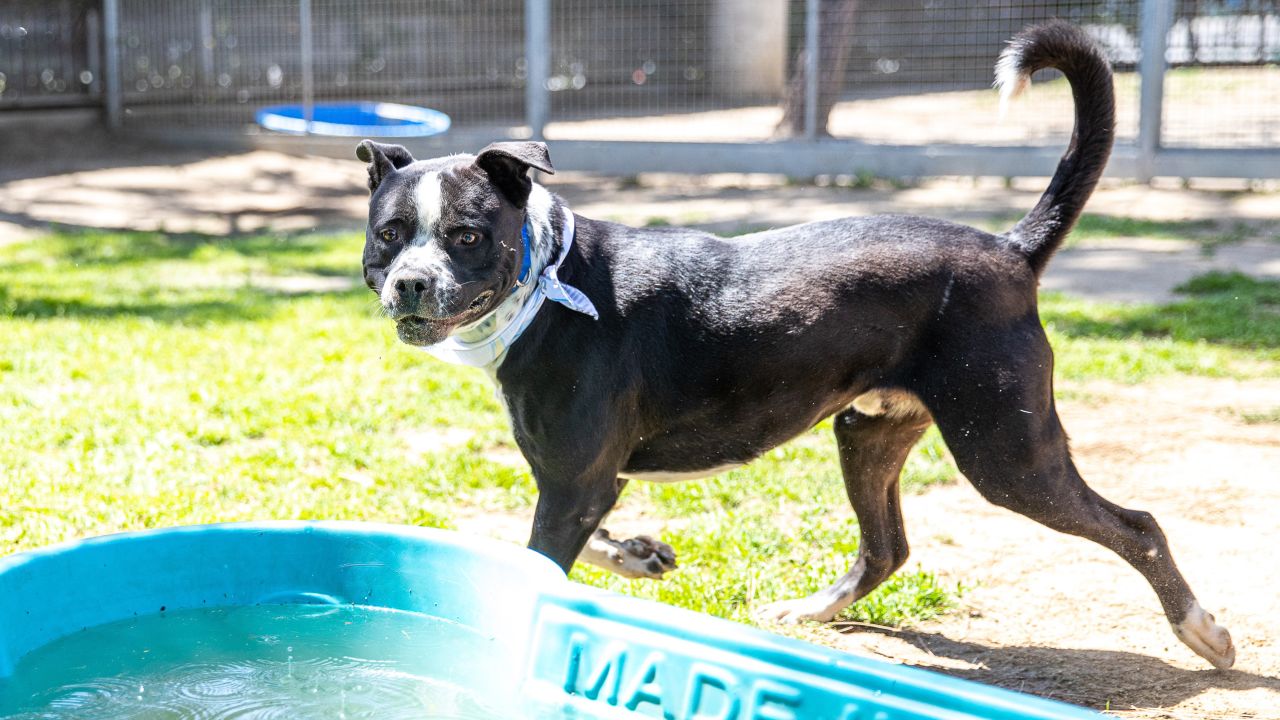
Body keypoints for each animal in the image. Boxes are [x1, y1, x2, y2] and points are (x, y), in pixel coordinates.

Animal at [355, 23, 1233, 671]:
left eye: (466, 235)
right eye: (389, 235)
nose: (411, 284)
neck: (550, 277)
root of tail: (1010, 247)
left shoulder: (575, 484)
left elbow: (537, 561)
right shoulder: (581, 483)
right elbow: (568, 542)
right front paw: (639, 554)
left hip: (1006, 453)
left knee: (1137, 525)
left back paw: (1204, 633)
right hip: (868, 430)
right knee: (887, 548)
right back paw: (810, 609)